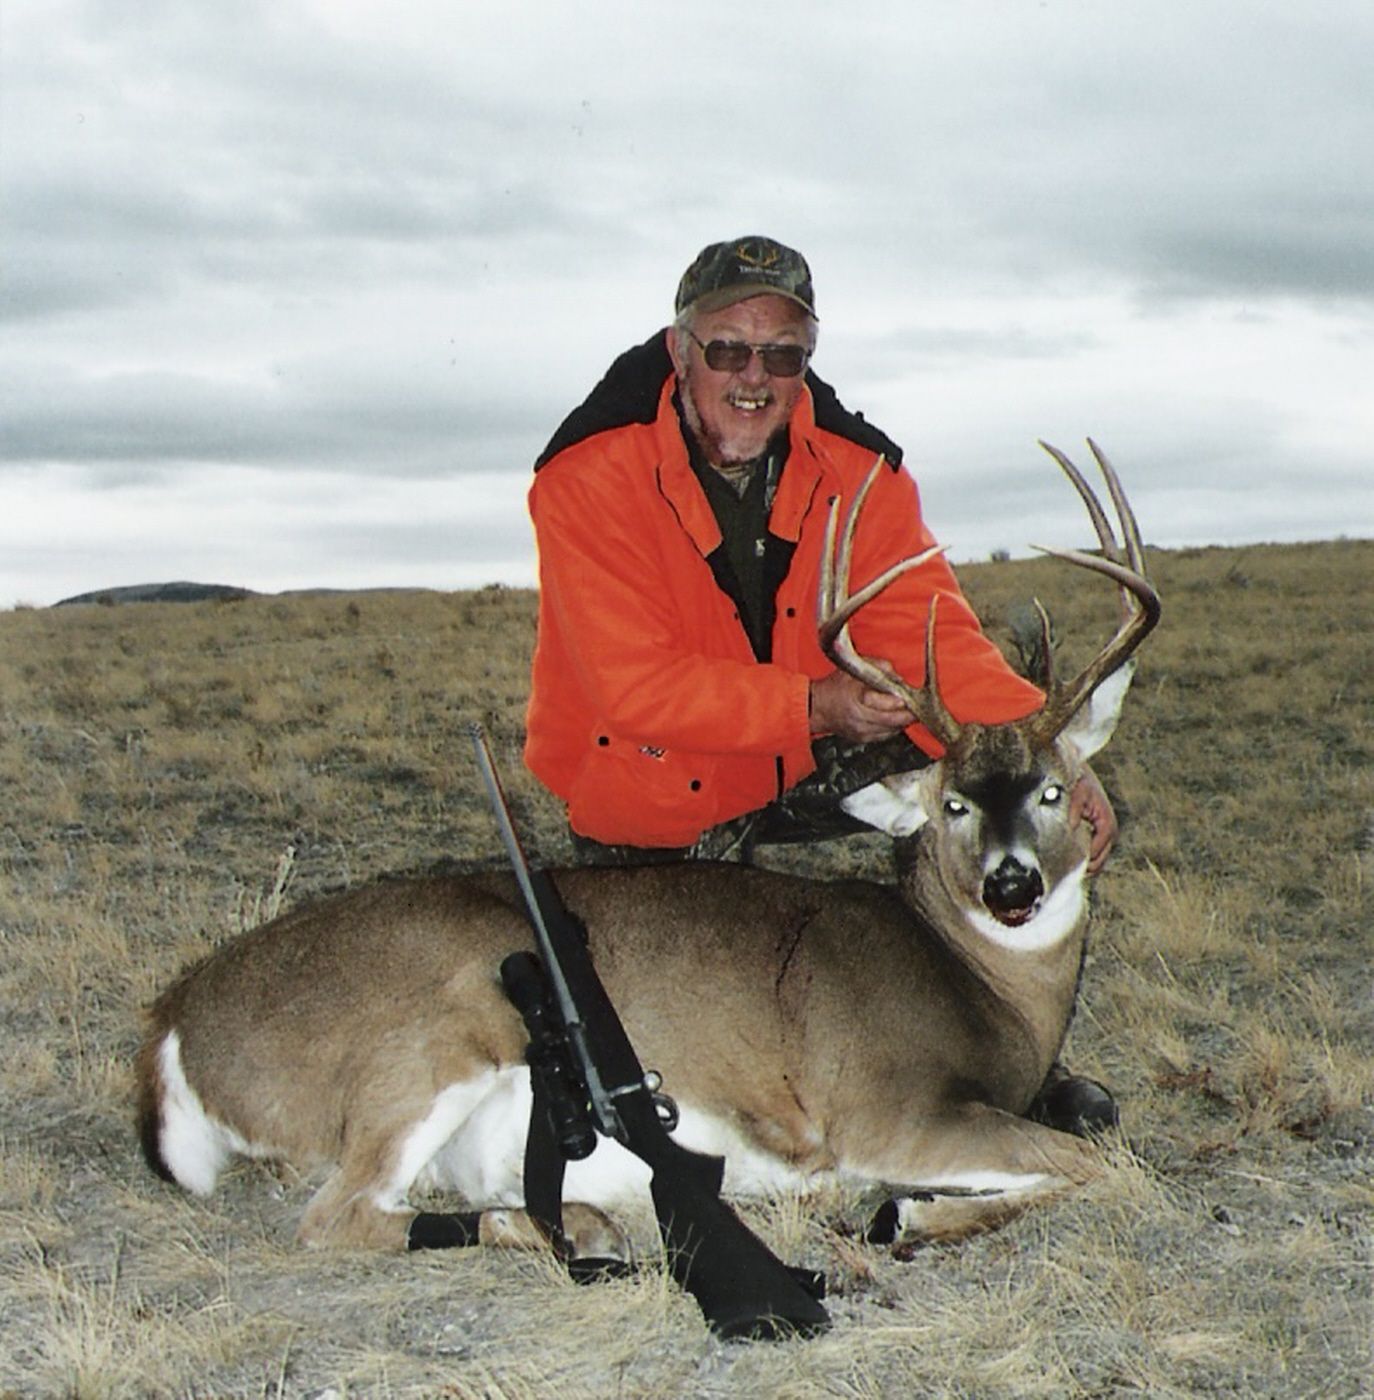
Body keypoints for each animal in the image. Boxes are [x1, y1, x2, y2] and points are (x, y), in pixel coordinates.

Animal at [135, 440, 1159, 1263]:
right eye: (952, 804)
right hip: (439, 1030)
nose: (1013, 886)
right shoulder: (889, 1106)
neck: (980, 989)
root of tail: (172, 1027)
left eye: (1053, 791)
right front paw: (897, 1213)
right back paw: (588, 1225)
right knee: (331, 1217)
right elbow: (1103, 1166)